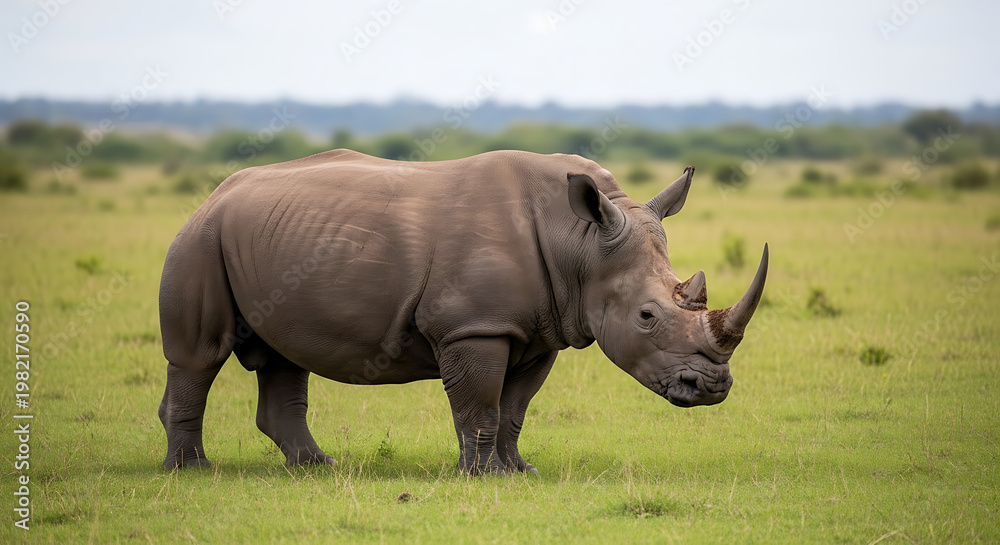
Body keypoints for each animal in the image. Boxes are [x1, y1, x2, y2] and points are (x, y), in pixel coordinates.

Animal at [158, 149, 768, 474]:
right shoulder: (474, 327)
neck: (582, 242)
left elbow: (514, 407)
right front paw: (481, 475)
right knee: (200, 356)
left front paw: (519, 471)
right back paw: (193, 470)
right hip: (202, 237)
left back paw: (318, 468)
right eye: (646, 317)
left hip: (263, 238)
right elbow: (479, 403)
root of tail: (214, 192)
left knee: (284, 355)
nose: (712, 387)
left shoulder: (540, 329)